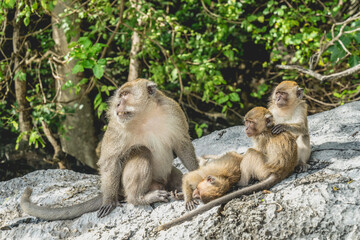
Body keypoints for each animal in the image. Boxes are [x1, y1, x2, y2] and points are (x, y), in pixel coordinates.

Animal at [20, 78, 200, 219]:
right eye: (119, 96)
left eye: (125, 94)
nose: (118, 104)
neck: (145, 116)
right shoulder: (116, 125)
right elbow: (110, 160)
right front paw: (109, 201)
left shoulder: (173, 110)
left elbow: (182, 144)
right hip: (123, 186)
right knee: (141, 151)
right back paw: (139, 198)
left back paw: (178, 192)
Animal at [156, 106, 296, 231]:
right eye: (247, 122)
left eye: (251, 123)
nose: (246, 128)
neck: (267, 129)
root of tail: (280, 172)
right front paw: (185, 196)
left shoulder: (260, 138)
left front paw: (188, 197)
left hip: (263, 168)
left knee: (250, 153)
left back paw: (241, 183)